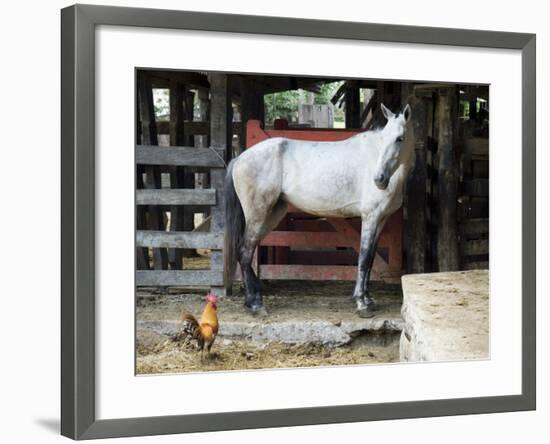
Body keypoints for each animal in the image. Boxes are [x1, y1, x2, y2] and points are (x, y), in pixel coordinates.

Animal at [225, 103, 414, 320]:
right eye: (383, 138)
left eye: (400, 138)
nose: (379, 179)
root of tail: (240, 158)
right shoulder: (370, 217)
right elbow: (364, 258)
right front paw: (361, 303)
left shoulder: (381, 219)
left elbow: (371, 259)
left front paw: (368, 300)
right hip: (257, 215)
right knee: (245, 252)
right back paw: (255, 305)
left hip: (271, 215)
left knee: (246, 252)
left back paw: (253, 300)